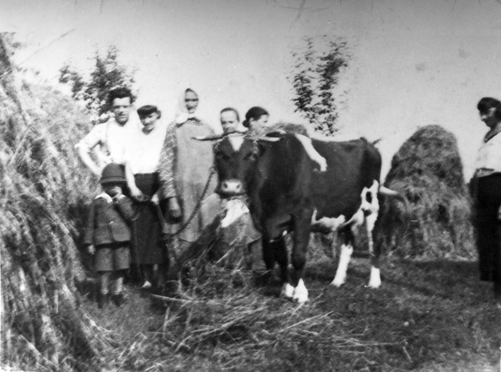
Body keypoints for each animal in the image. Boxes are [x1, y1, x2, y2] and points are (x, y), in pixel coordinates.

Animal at [199, 132, 406, 304]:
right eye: (220, 154)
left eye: (251, 154)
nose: (231, 186)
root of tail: (366, 143)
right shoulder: (271, 223)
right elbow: (281, 257)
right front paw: (286, 289)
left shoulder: (303, 216)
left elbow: (297, 257)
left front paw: (300, 294)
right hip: (347, 211)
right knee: (347, 246)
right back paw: (338, 281)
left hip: (373, 206)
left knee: (375, 243)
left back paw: (374, 282)